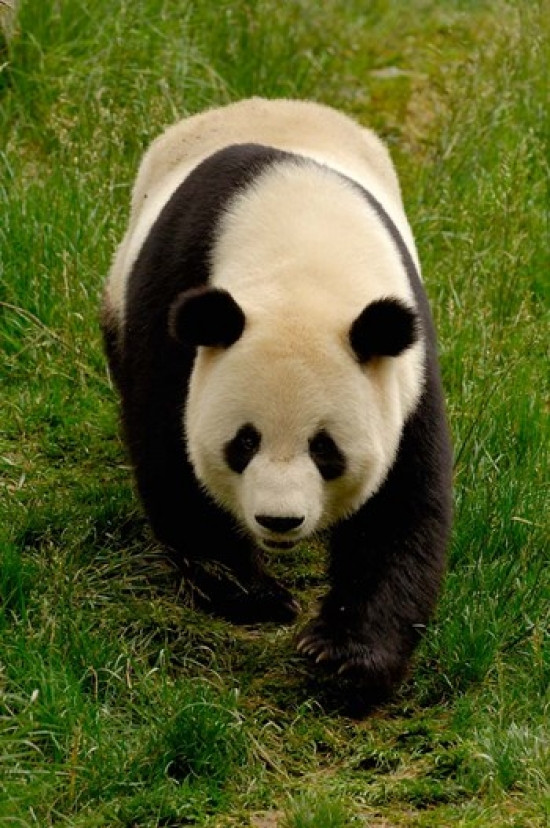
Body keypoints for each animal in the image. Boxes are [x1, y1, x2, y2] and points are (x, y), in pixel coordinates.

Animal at [101, 97, 453, 699]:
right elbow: (170, 451)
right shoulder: (176, 295)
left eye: (326, 449)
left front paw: (345, 655)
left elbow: (402, 502)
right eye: (243, 443)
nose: (279, 521)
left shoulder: (403, 365)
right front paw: (254, 596)